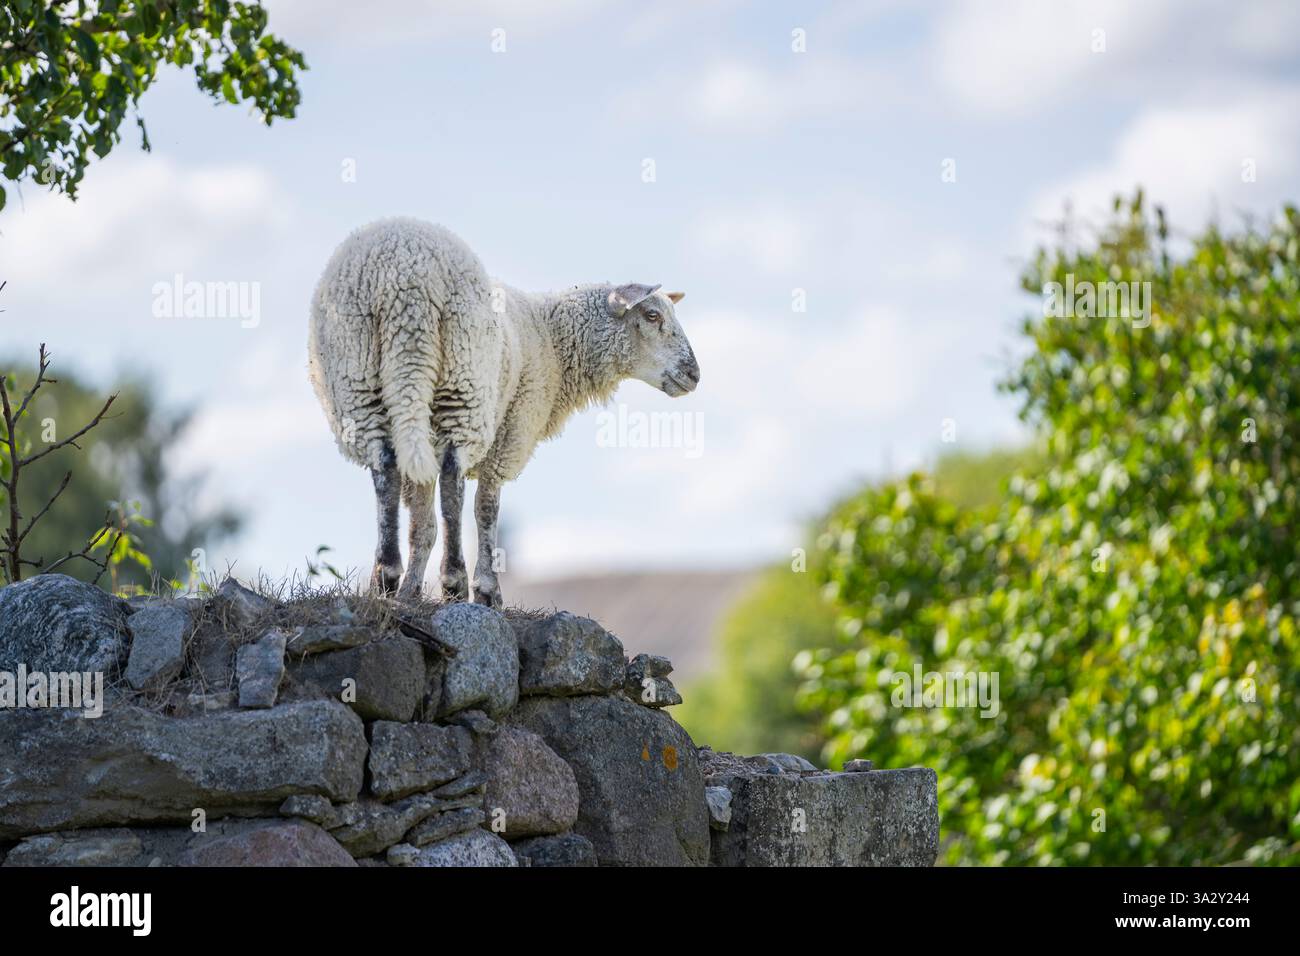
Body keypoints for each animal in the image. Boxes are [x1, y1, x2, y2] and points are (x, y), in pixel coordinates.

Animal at [307, 217, 701, 607]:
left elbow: (423, 518)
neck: (554, 338)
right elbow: (486, 506)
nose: (694, 374)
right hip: (462, 377)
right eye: (652, 315)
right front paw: (486, 589)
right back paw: (453, 580)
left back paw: (386, 575)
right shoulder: (512, 430)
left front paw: (409, 592)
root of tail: (403, 277)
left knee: (385, 466)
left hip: (359, 377)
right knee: (452, 477)